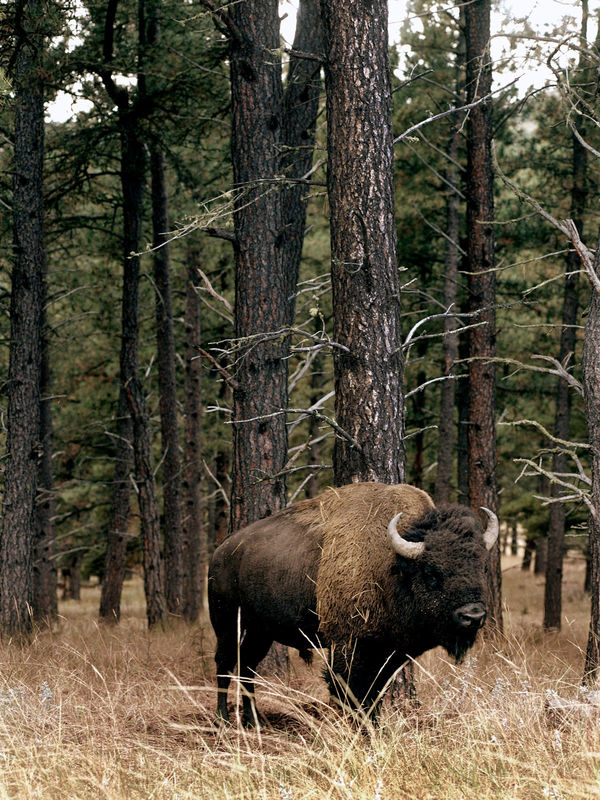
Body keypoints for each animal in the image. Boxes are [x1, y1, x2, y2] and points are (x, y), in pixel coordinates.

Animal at [208, 482, 498, 725]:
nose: (473, 616)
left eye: (483, 566)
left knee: (247, 667)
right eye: (431, 572)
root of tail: (221, 551)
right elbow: (351, 691)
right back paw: (223, 718)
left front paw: (375, 727)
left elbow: (375, 693)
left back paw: (253, 720)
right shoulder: (347, 647)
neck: (392, 568)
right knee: (224, 665)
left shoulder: (388, 653)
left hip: (260, 633)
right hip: (227, 626)